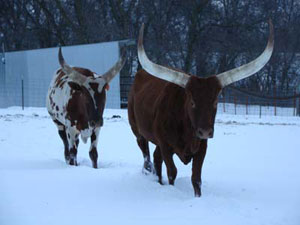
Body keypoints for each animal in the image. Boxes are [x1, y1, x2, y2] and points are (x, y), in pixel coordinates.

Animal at [127, 21, 274, 197]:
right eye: (192, 102)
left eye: (215, 101)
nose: (204, 131)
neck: (187, 130)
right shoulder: (166, 145)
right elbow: (172, 172)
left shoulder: (202, 147)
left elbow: (196, 178)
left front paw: (197, 197)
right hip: (137, 131)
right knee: (147, 156)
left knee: (156, 158)